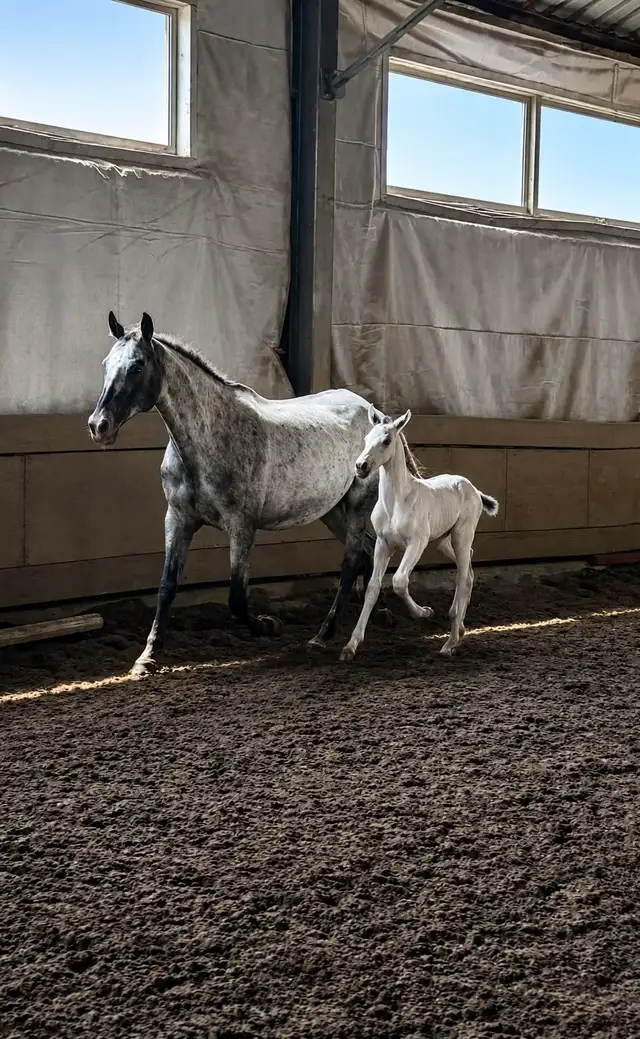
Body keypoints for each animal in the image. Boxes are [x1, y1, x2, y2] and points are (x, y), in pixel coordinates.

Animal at [87, 312, 422, 676]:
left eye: (136, 366)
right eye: (105, 364)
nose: (98, 426)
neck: (209, 439)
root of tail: (377, 415)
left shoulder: (241, 526)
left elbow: (236, 597)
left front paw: (269, 625)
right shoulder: (178, 519)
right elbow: (167, 586)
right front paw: (146, 657)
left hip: (357, 507)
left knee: (350, 564)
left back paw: (322, 636)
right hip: (332, 511)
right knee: (368, 554)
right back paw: (380, 616)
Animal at [340, 406, 499, 662]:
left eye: (386, 440)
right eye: (366, 438)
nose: (361, 466)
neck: (396, 501)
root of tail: (473, 488)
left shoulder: (417, 543)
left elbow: (399, 581)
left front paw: (424, 612)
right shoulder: (383, 544)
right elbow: (373, 587)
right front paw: (350, 646)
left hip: (461, 535)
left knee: (463, 576)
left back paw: (449, 643)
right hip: (444, 541)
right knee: (469, 569)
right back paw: (459, 627)